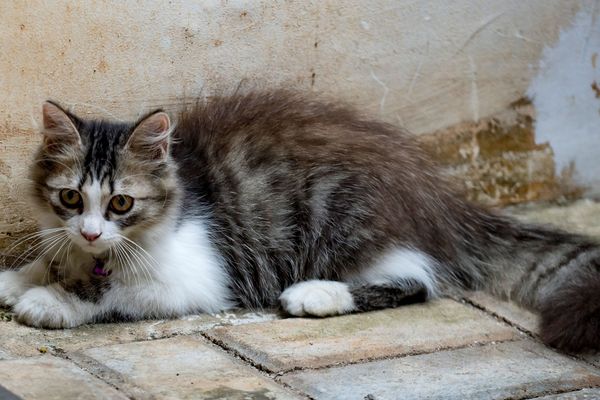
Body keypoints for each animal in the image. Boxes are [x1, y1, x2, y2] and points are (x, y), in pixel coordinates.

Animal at [1, 89, 600, 352]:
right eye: (71, 199)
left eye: (121, 204)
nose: (91, 232)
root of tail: (434, 193)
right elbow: (53, 260)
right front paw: (22, 277)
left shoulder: (195, 278)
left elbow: (113, 291)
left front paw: (52, 302)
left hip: (342, 217)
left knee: (419, 281)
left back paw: (316, 294)